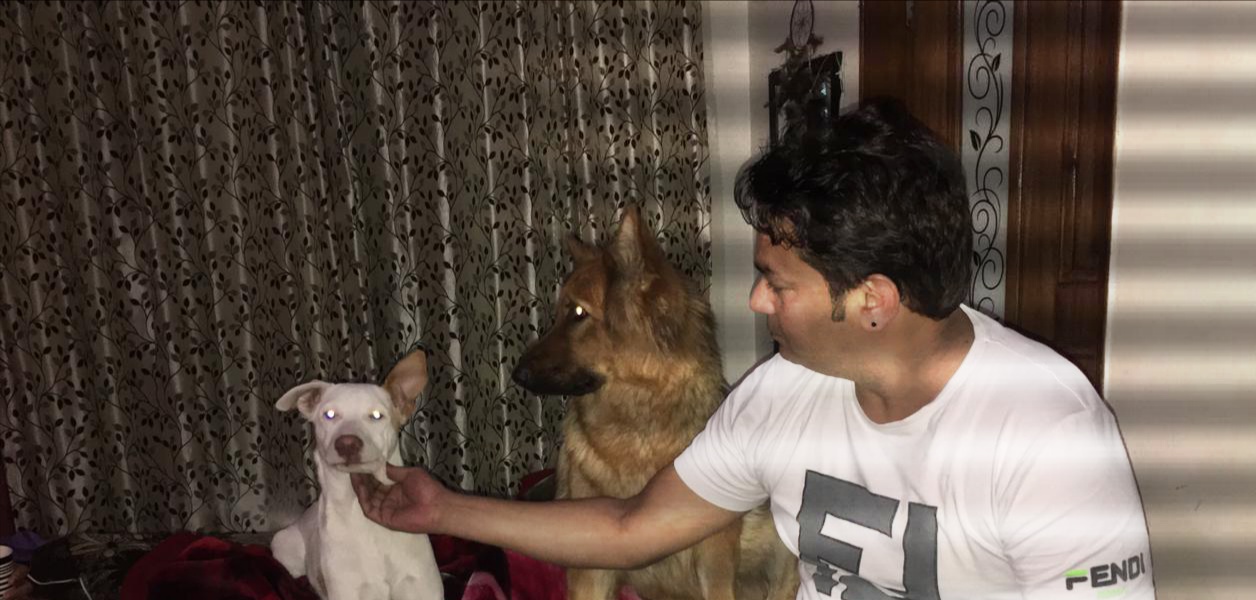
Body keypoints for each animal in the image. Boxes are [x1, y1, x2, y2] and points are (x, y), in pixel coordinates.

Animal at [271, 349, 442, 600]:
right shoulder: (350, 589)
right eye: (329, 414)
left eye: (377, 415)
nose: (347, 444)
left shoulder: (420, 586)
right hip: (282, 544)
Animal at [512, 206, 799, 600]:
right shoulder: (590, 568)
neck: (637, 429)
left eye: (579, 314)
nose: (516, 374)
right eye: (558, 314)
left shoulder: (715, 554)